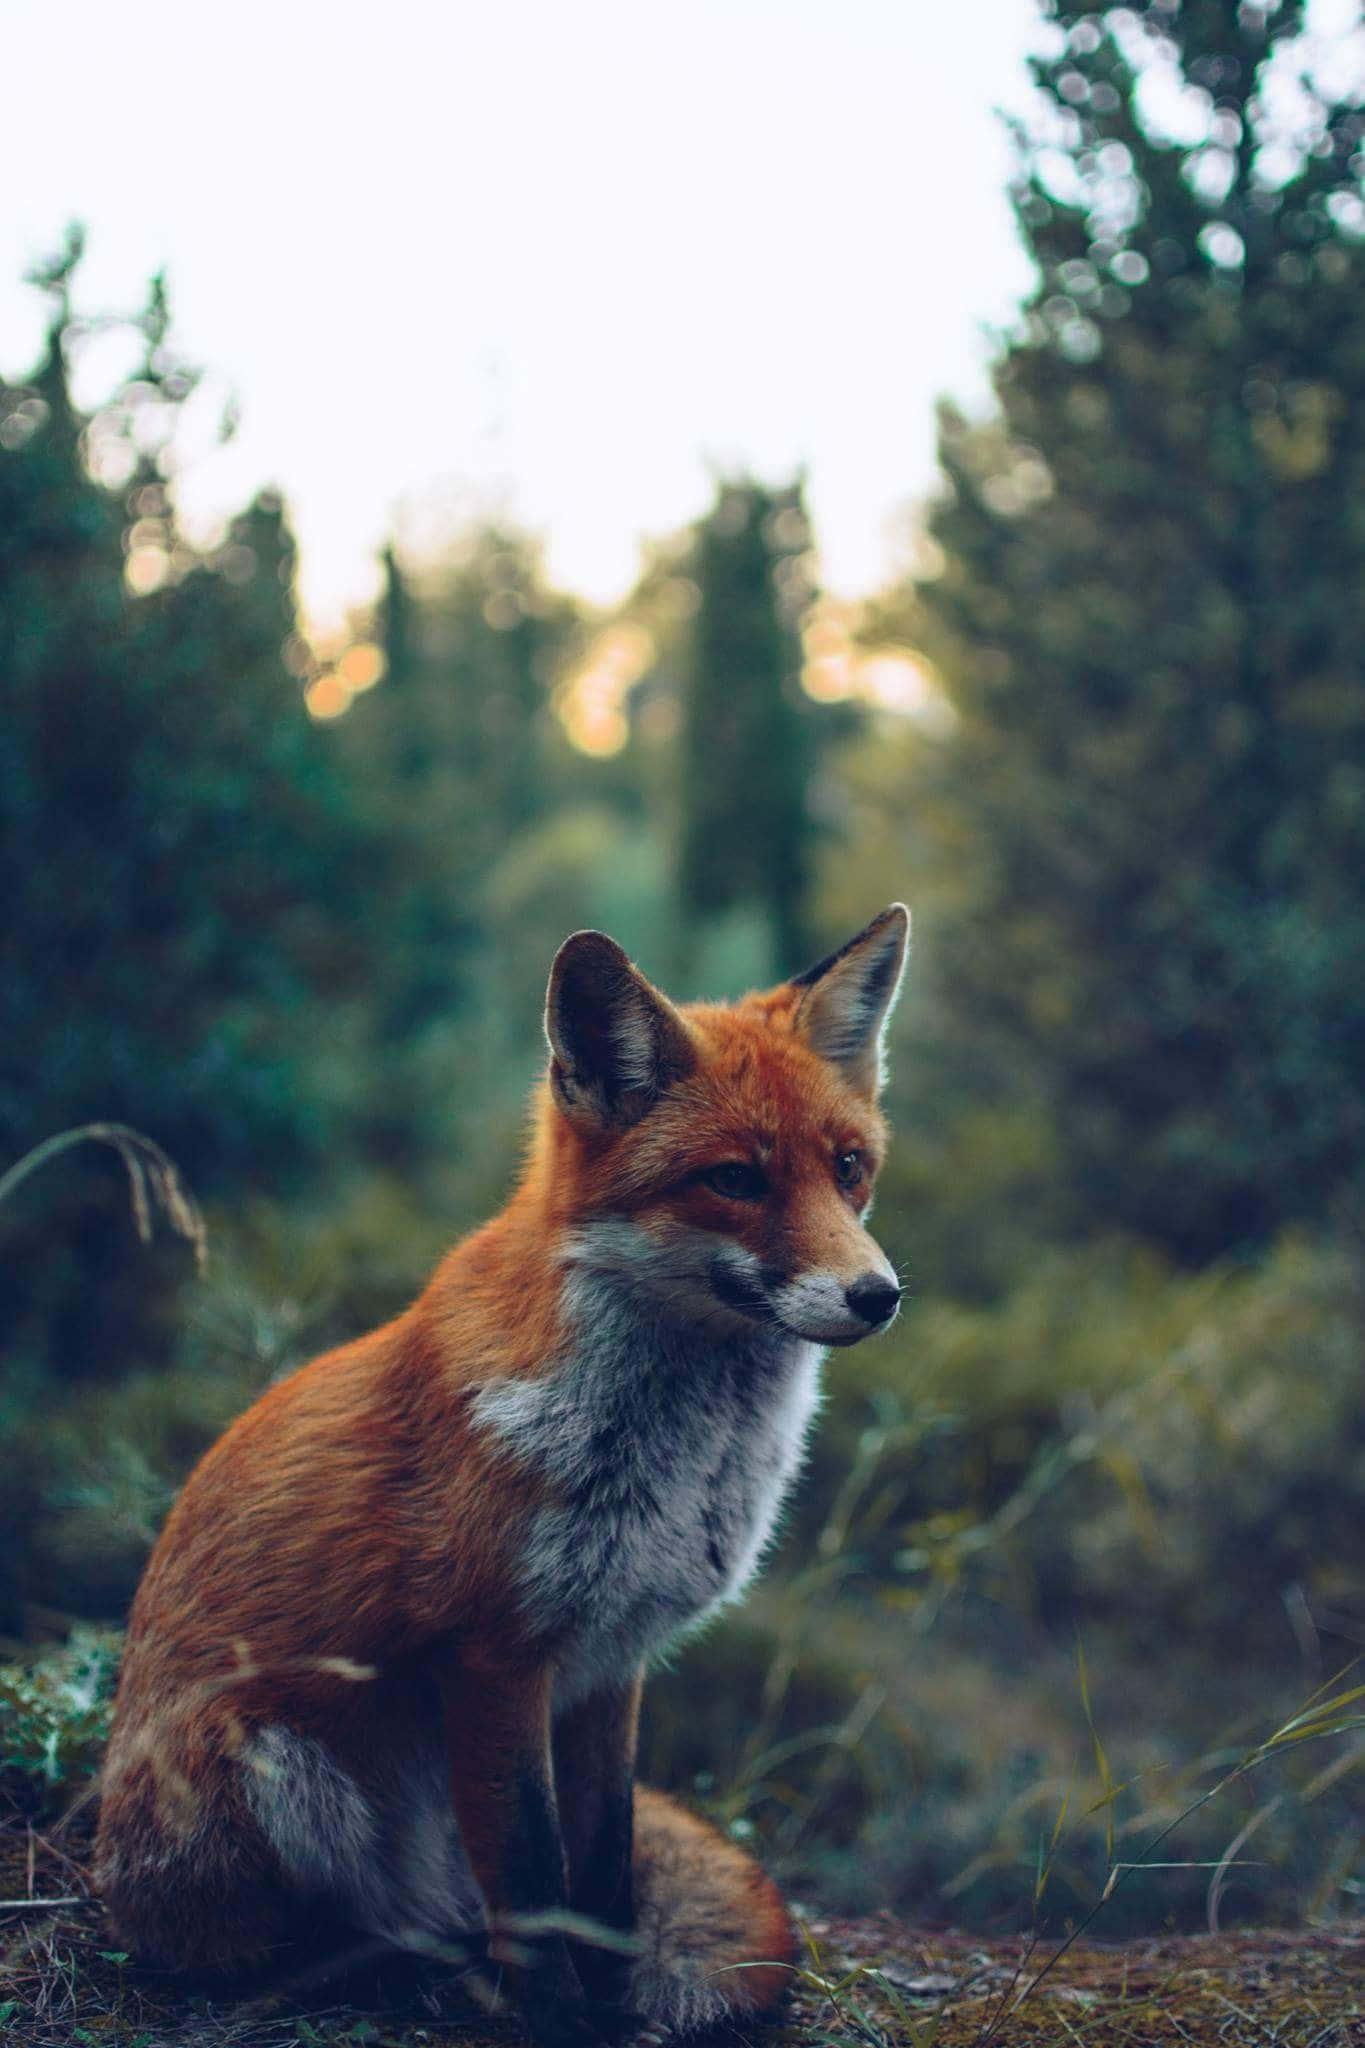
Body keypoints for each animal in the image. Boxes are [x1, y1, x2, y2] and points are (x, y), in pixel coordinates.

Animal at [94, 905, 910, 2044]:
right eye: (735, 1179)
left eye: (848, 1166)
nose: (877, 1294)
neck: (678, 1468)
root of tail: (95, 1858)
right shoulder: (491, 1657)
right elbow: (530, 1875)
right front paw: (564, 2022)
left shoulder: (612, 1659)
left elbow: (601, 1869)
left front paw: (613, 1995)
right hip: (268, 1758)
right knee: (277, 1947)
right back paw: (393, 1973)